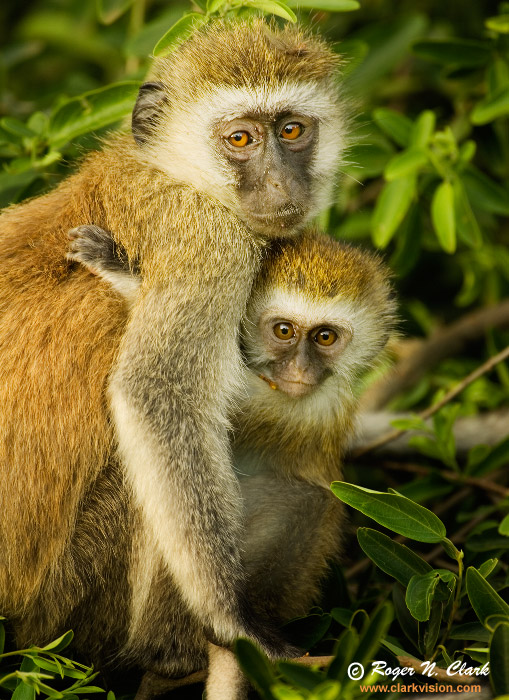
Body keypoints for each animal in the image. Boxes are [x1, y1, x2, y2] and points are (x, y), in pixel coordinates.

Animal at [0, 16, 346, 668]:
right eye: (240, 139)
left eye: (291, 130)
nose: (281, 183)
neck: (172, 174)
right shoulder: (211, 242)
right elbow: (155, 396)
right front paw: (237, 620)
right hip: (71, 602)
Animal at [67, 224, 394, 700]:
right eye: (283, 330)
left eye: (325, 337)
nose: (299, 370)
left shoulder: (315, 404)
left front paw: (126, 279)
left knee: (303, 499)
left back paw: (174, 651)